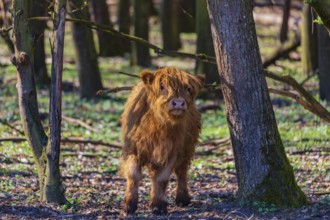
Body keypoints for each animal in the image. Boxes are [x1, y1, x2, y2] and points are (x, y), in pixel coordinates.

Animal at [120, 67, 204, 215]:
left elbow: (162, 178)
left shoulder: (173, 151)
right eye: (162, 86)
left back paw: (182, 198)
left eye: (188, 88)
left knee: (181, 172)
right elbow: (133, 175)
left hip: (187, 148)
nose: (178, 103)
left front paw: (158, 205)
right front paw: (129, 205)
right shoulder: (133, 149)